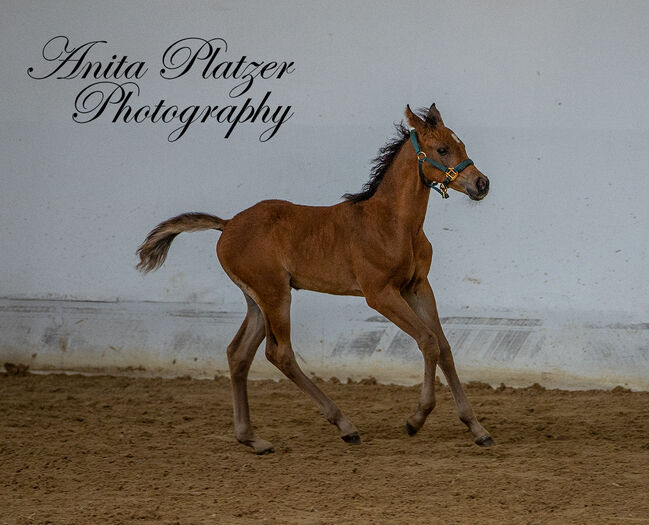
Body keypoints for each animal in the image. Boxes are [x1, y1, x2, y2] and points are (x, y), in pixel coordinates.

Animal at [137, 104, 492, 452]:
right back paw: (345, 426)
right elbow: (427, 341)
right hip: (276, 294)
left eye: (461, 144)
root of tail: (227, 224)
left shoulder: (417, 287)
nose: (481, 184)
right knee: (279, 353)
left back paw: (252, 438)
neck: (394, 223)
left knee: (238, 353)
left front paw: (476, 428)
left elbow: (444, 346)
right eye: (442, 149)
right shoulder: (380, 294)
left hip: (257, 299)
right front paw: (416, 419)